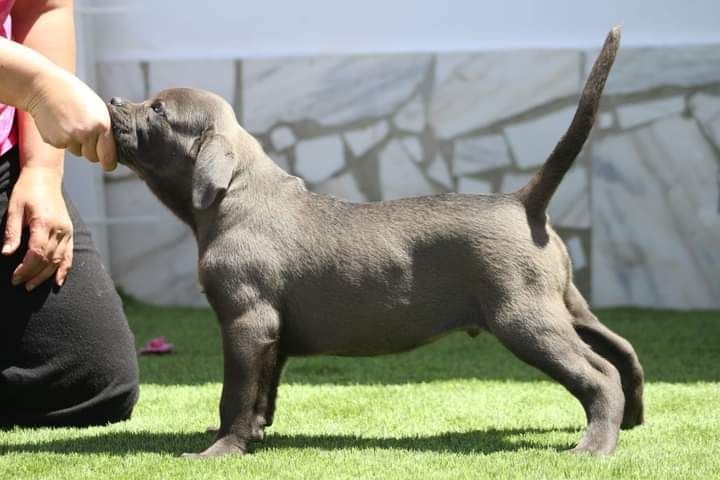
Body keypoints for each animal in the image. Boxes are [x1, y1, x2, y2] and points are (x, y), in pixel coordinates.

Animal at [109, 28, 644, 460]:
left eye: (157, 109)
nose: (112, 101)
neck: (235, 195)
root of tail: (523, 202)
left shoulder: (246, 320)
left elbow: (236, 393)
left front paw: (221, 449)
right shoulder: (271, 333)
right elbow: (263, 391)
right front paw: (252, 435)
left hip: (524, 317)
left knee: (599, 373)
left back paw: (595, 445)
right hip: (562, 304)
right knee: (621, 348)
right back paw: (632, 418)